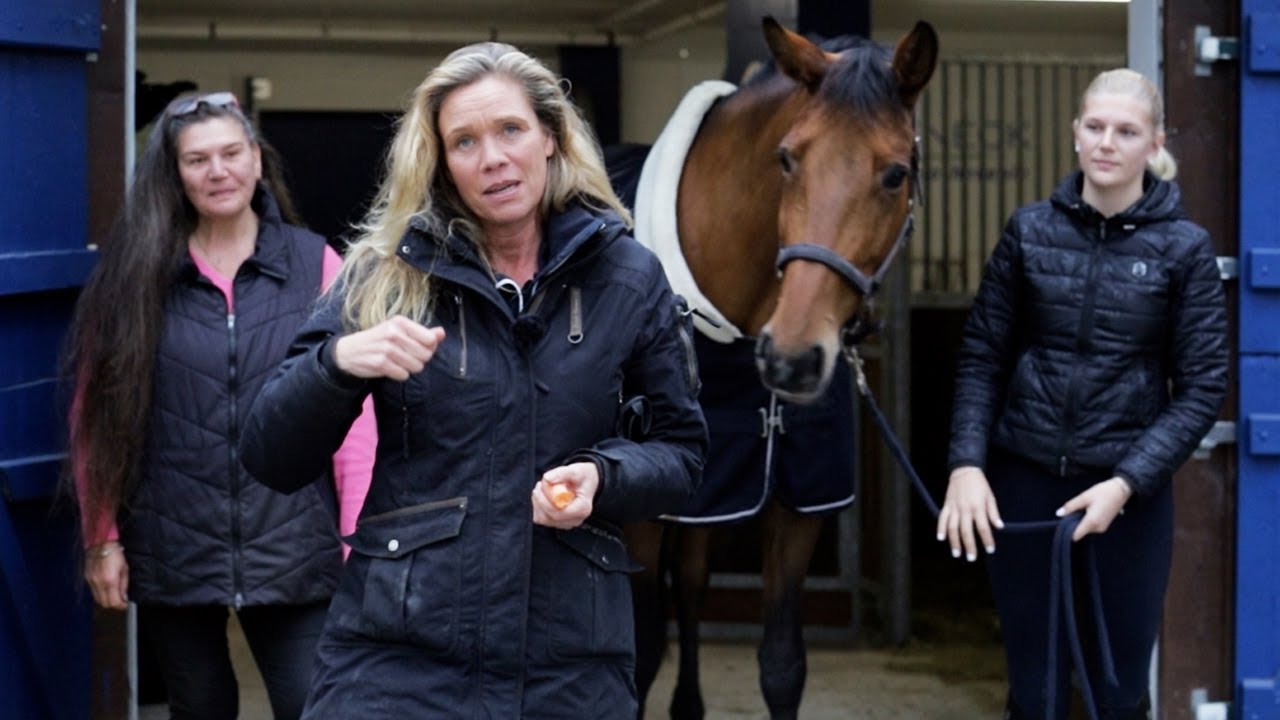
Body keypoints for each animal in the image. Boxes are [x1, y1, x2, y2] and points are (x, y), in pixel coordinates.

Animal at [610, 17, 938, 720]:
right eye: (787, 158)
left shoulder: (799, 499)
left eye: (896, 174)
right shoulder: (637, 512)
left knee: (694, 583)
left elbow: (783, 665)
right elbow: (637, 653)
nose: (790, 358)